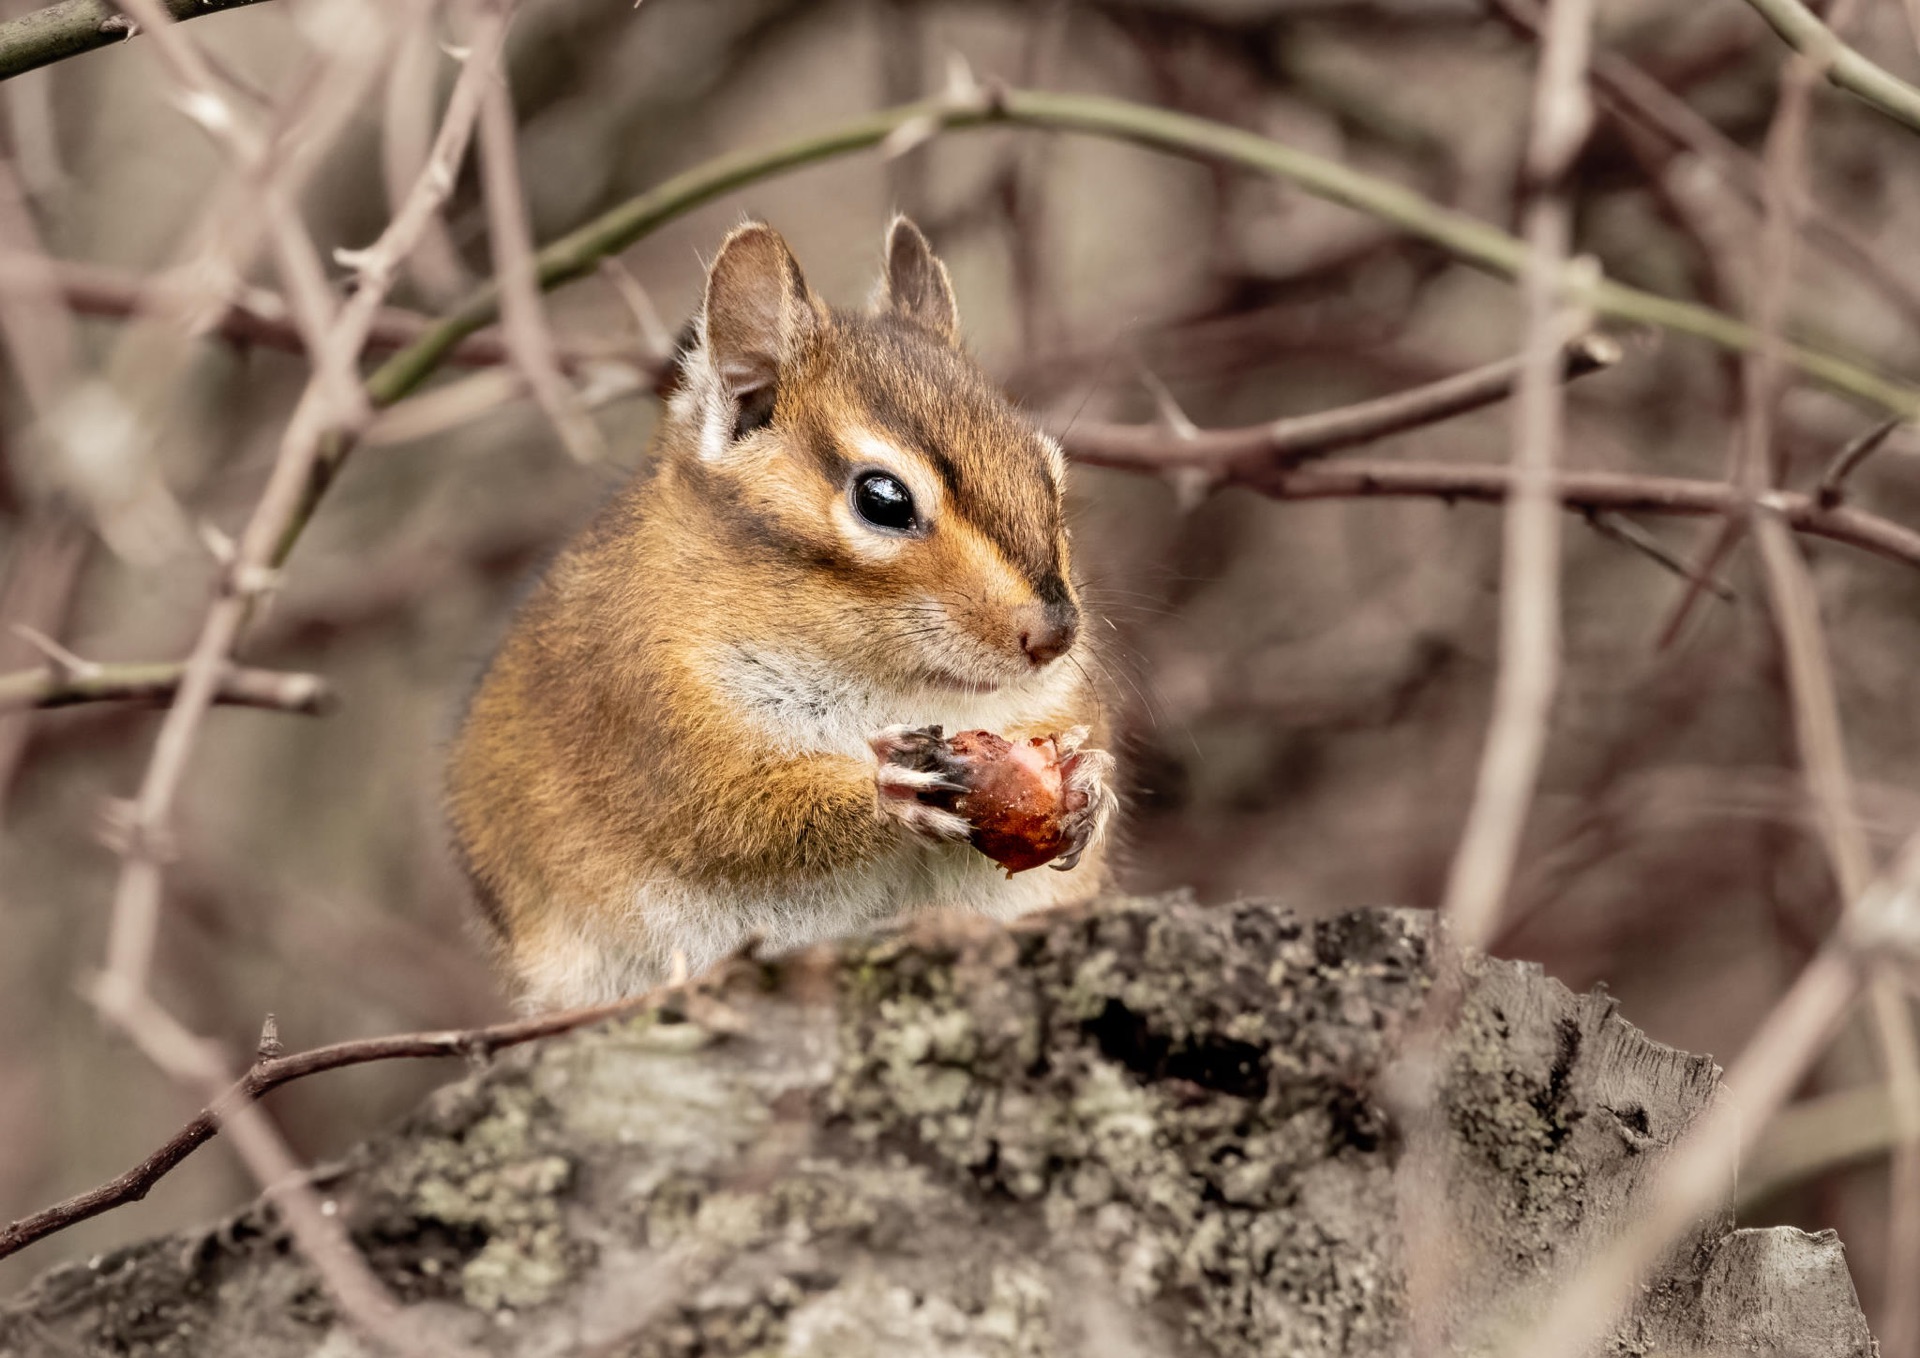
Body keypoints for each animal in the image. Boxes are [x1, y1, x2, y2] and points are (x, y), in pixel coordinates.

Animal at [445, 216, 1117, 1012]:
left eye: (1049, 472)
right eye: (882, 499)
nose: (1055, 635)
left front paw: (1088, 785)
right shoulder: (660, 729)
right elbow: (744, 818)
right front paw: (887, 790)